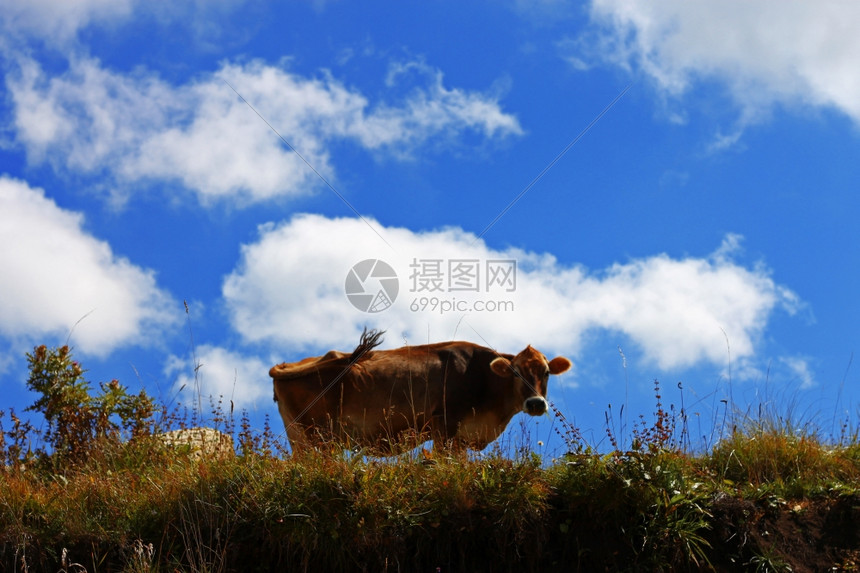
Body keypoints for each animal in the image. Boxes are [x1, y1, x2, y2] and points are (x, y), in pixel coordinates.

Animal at [268, 328, 572, 454]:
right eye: (516, 372)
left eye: (546, 372)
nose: (536, 403)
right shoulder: (445, 426)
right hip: (318, 436)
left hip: (300, 437)